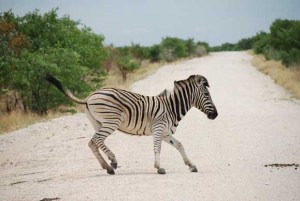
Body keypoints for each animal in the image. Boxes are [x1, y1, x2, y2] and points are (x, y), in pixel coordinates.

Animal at [45, 74, 218, 174]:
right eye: (206, 94)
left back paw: (108, 167)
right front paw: (159, 167)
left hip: (98, 122)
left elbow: (179, 145)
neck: (172, 107)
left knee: (93, 142)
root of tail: (89, 97)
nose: (215, 115)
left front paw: (191, 165)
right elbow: (157, 148)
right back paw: (112, 162)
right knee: (97, 140)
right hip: (112, 121)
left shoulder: (165, 133)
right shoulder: (158, 129)